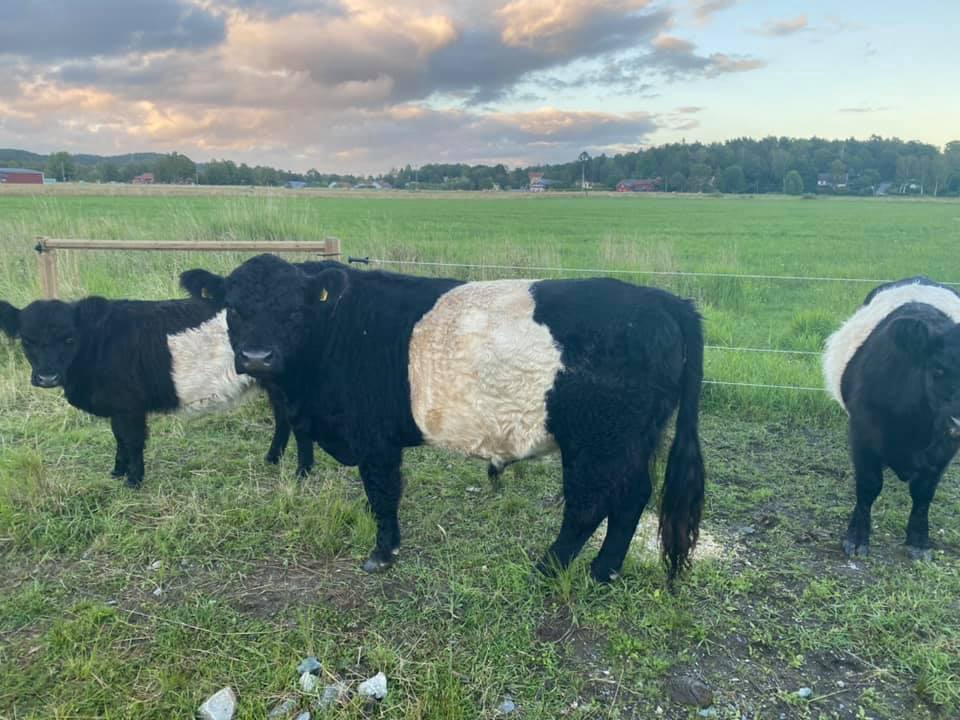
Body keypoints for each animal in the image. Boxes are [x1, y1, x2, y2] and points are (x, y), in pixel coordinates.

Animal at [180, 255, 704, 584]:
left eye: (294, 309)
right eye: (233, 308)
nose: (257, 357)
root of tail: (662, 299)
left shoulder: (373, 438)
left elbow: (382, 493)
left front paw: (382, 554)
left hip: (597, 441)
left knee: (588, 507)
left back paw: (547, 570)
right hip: (635, 440)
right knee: (632, 498)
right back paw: (604, 571)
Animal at [820, 278, 960, 564]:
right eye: (938, 369)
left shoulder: (945, 449)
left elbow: (924, 492)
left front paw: (918, 541)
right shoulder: (862, 433)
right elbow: (869, 485)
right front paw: (857, 538)